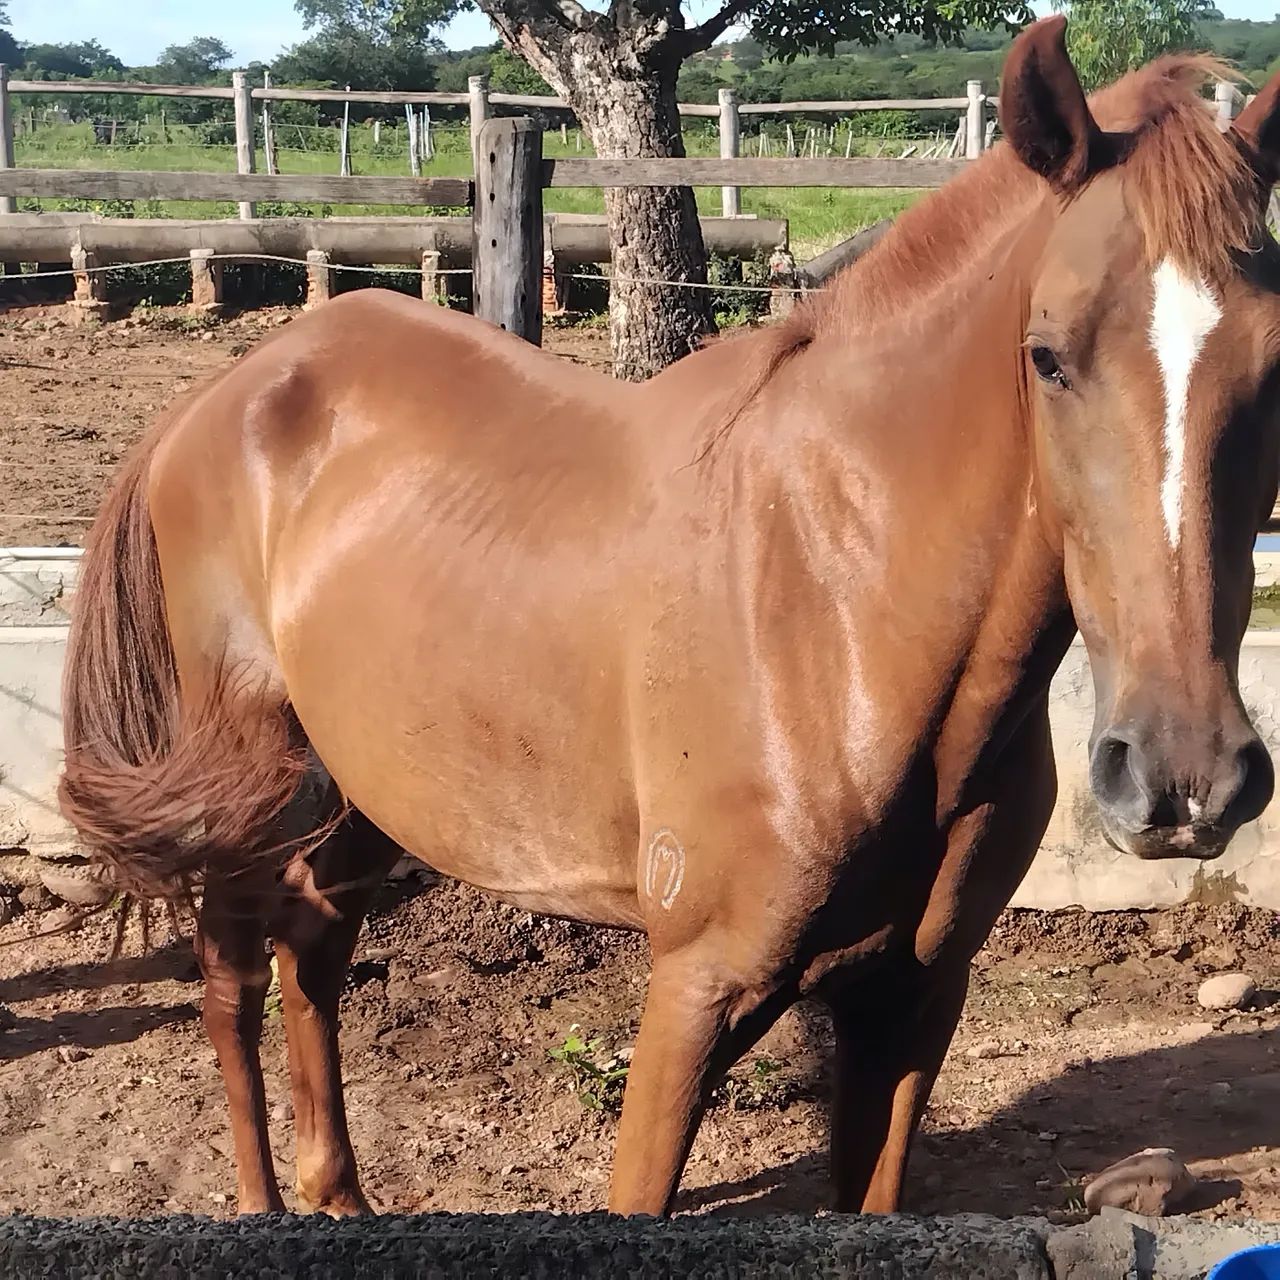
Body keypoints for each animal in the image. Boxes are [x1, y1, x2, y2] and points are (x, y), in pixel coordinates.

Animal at [58, 17, 1280, 1218]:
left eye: (1274, 366)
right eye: (1046, 357)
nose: (1181, 777)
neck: (838, 608)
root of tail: (231, 390)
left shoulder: (915, 995)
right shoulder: (697, 986)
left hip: (360, 785)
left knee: (311, 954)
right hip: (248, 792)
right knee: (231, 986)